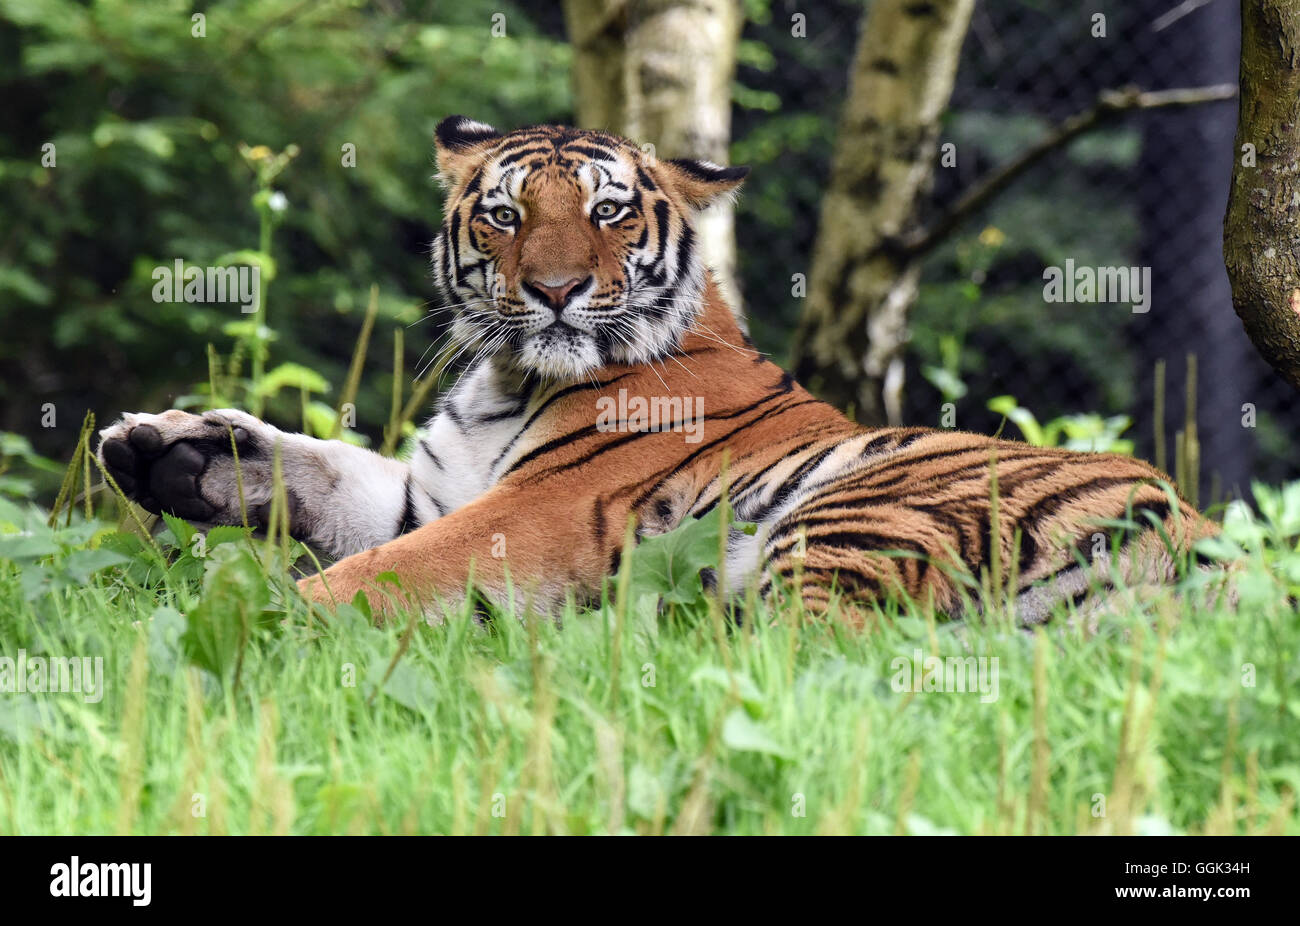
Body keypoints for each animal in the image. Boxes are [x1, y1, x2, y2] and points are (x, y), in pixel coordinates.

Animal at [94, 113, 1216, 621]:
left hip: (872, 507)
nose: (552, 289)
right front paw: (173, 452)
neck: (506, 379)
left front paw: (251, 618)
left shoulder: (534, 511)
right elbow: (324, 471)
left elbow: (379, 570)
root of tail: (1208, 551)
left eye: (608, 211)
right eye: (504, 216)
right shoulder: (437, 491)